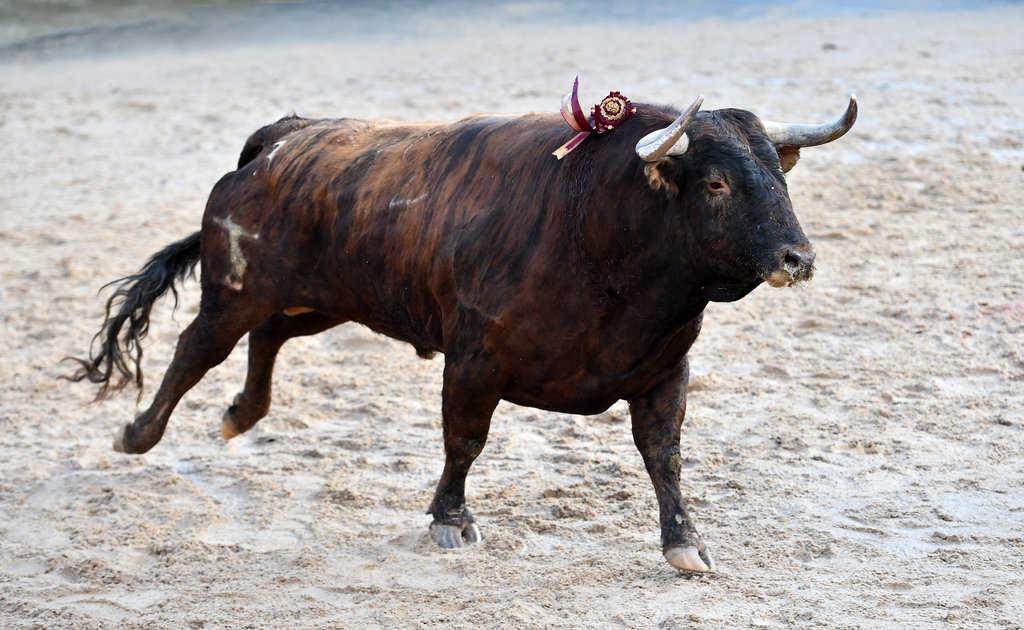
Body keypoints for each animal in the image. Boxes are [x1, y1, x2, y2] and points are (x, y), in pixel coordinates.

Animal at [68, 92, 857, 572]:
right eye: (717, 183)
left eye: (781, 176)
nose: (799, 258)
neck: (598, 228)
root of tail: (282, 137)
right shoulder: (474, 362)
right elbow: (464, 441)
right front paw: (450, 519)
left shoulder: (664, 371)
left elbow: (664, 456)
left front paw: (686, 544)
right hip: (236, 289)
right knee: (197, 350)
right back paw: (138, 433)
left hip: (322, 297)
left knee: (269, 341)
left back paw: (239, 416)